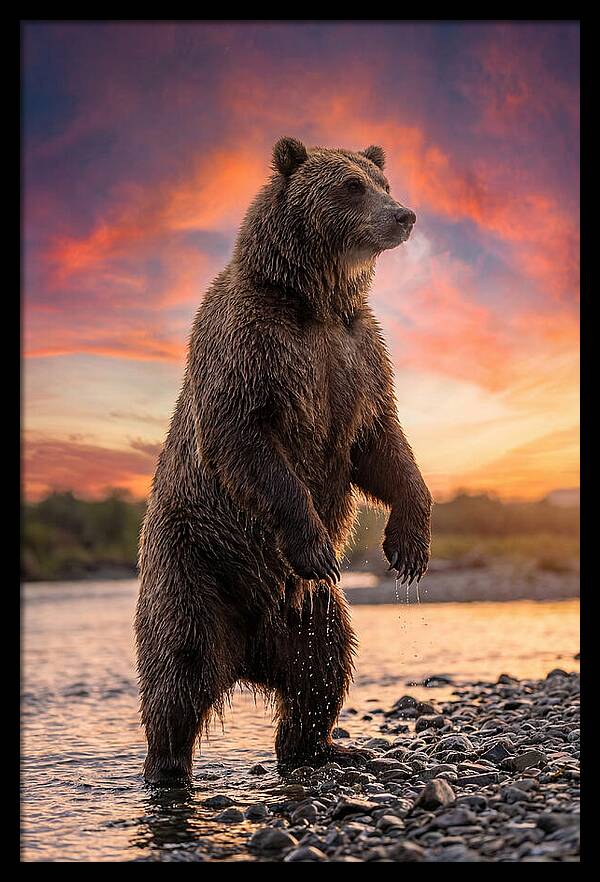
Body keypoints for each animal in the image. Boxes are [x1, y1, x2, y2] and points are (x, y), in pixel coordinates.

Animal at [135, 137, 432, 785]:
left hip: (309, 611)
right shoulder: (253, 347)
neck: (315, 301)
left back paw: (323, 746)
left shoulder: (357, 356)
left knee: (323, 665)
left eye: (382, 180)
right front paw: (317, 542)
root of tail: (248, 652)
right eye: (351, 186)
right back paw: (166, 767)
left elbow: (382, 444)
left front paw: (409, 545)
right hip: (195, 563)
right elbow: (249, 441)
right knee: (180, 667)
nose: (404, 215)